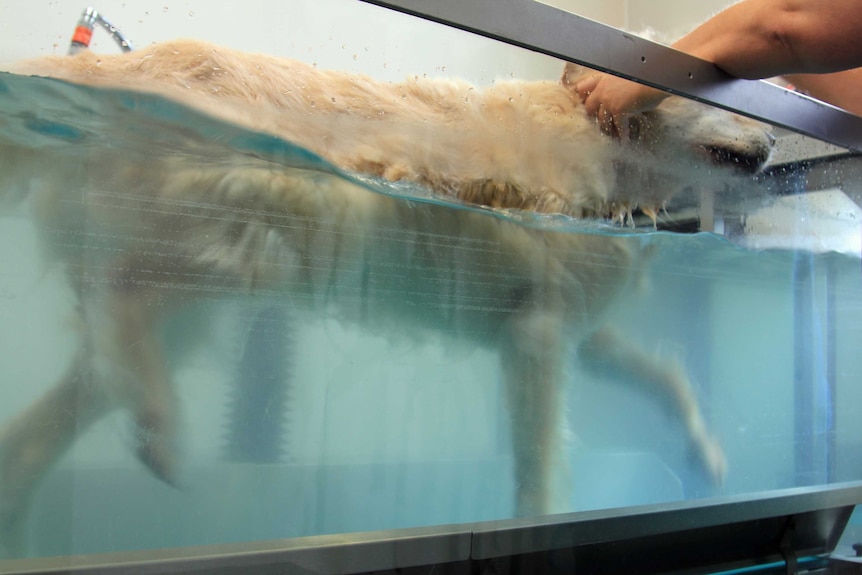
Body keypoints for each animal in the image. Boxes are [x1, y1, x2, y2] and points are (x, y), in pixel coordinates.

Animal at [0, 39, 772, 560]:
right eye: (709, 96)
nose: (772, 139)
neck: (609, 153)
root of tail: (101, 70)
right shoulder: (538, 336)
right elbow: (539, 466)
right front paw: (540, 519)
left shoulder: (579, 332)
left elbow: (663, 376)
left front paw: (705, 451)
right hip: (270, 220)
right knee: (117, 293)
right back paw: (160, 426)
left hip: (199, 289)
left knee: (69, 396)